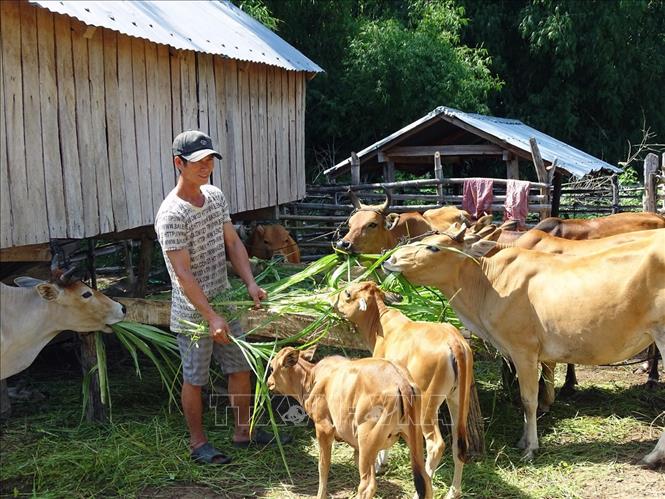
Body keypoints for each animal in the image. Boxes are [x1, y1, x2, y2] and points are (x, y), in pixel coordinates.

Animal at [268, 348, 434, 499]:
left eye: (272, 367)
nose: (269, 382)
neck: (312, 378)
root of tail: (401, 382)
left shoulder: (324, 428)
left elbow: (323, 466)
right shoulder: (355, 445)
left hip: (367, 440)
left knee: (367, 486)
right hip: (413, 438)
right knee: (425, 480)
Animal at [332, 282, 472, 499]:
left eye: (347, 293)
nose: (333, 301)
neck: (382, 325)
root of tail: (455, 343)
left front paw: (380, 463)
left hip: (428, 405)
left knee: (436, 445)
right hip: (458, 399)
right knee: (460, 444)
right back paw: (453, 492)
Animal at [378, 225, 664, 466]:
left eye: (433, 247)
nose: (390, 260)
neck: (489, 284)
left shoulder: (523, 350)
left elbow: (528, 399)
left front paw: (530, 447)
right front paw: (523, 440)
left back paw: (653, 456)